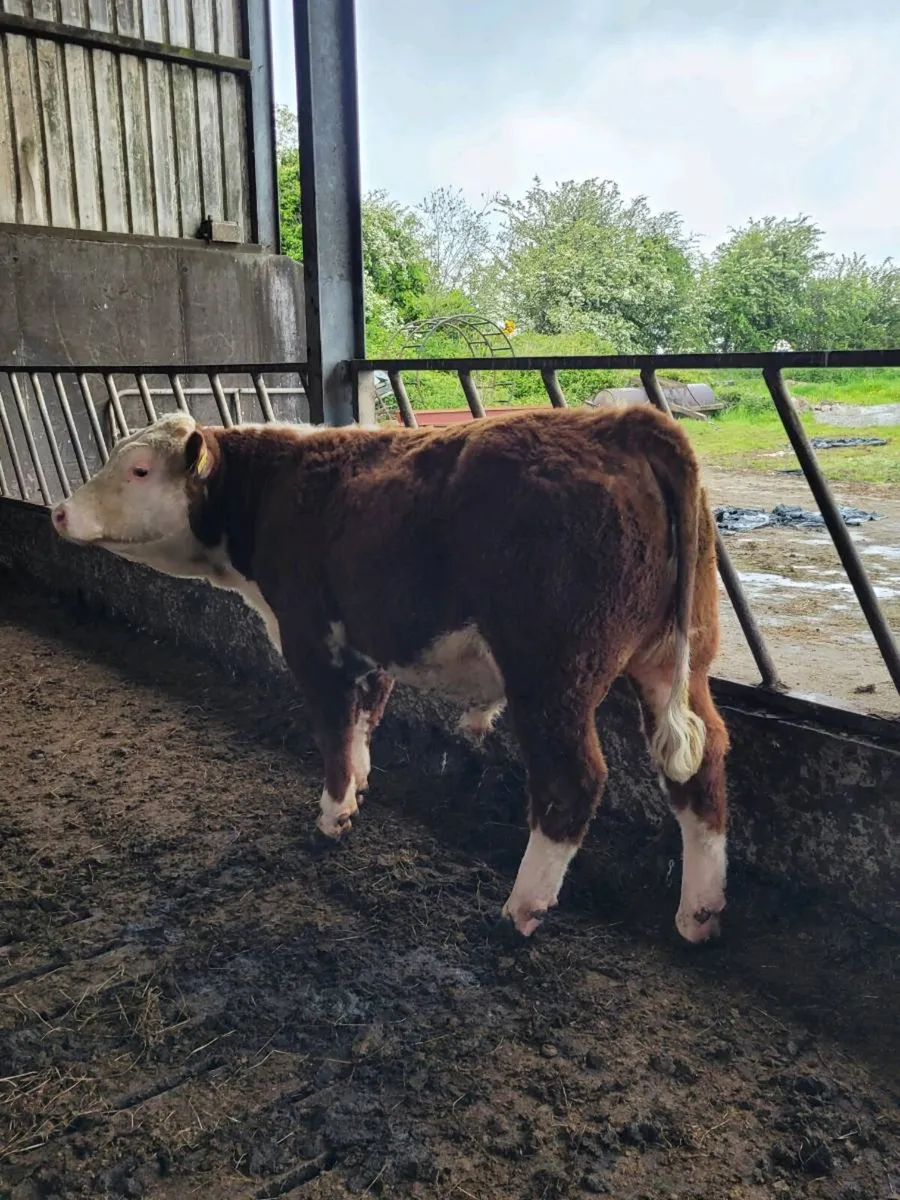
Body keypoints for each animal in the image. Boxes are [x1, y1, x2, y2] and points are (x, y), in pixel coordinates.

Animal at [51, 406, 729, 943]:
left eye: (140, 469)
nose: (58, 512)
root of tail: (621, 423)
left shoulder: (310, 640)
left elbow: (332, 731)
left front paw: (333, 816)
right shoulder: (369, 645)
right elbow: (363, 721)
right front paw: (359, 786)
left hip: (553, 676)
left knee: (572, 782)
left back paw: (522, 908)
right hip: (677, 657)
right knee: (702, 767)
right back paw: (699, 913)